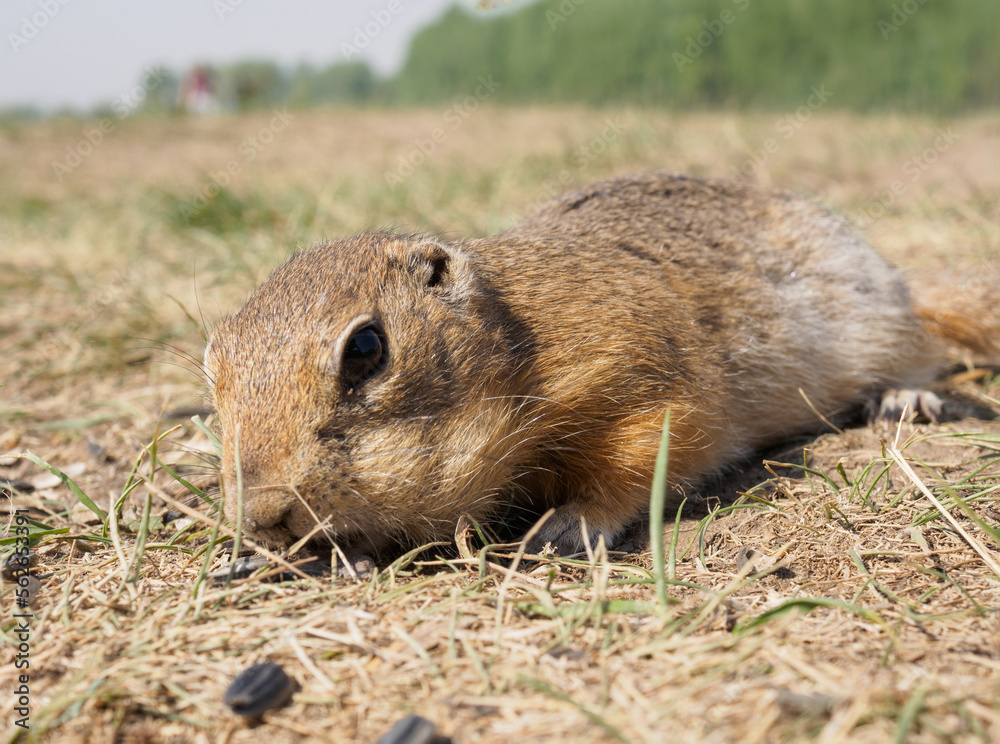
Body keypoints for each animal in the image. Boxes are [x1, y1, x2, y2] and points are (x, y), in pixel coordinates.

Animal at [207, 171, 988, 560]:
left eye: (366, 349)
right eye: (212, 371)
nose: (262, 516)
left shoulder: (640, 374)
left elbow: (645, 458)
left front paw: (564, 527)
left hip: (880, 323)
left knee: (925, 353)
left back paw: (905, 399)